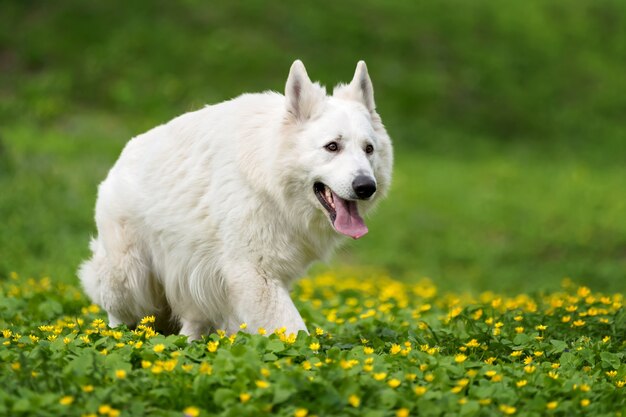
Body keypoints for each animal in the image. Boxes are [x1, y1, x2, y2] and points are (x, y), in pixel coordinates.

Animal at [77, 59, 390, 338]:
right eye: (332, 147)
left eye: (368, 149)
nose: (366, 186)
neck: (269, 178)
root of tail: (123, 155)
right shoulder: (254, 274)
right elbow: (294, 331)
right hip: (130, 280)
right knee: (118, 311)